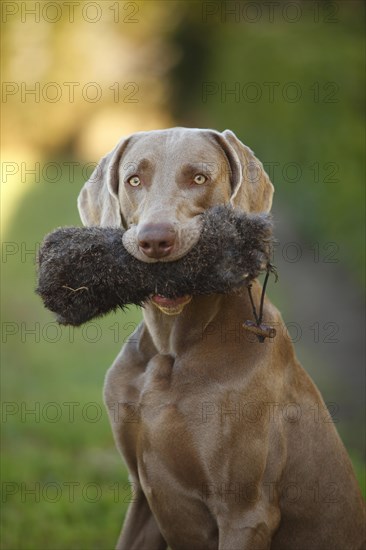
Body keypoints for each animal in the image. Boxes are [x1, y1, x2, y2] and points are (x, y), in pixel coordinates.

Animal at [77, 129, 364, 550]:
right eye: (134, 180)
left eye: (199, 178)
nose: (155, 240)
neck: (173, 348)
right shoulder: (143, 496)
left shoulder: (245, 513)